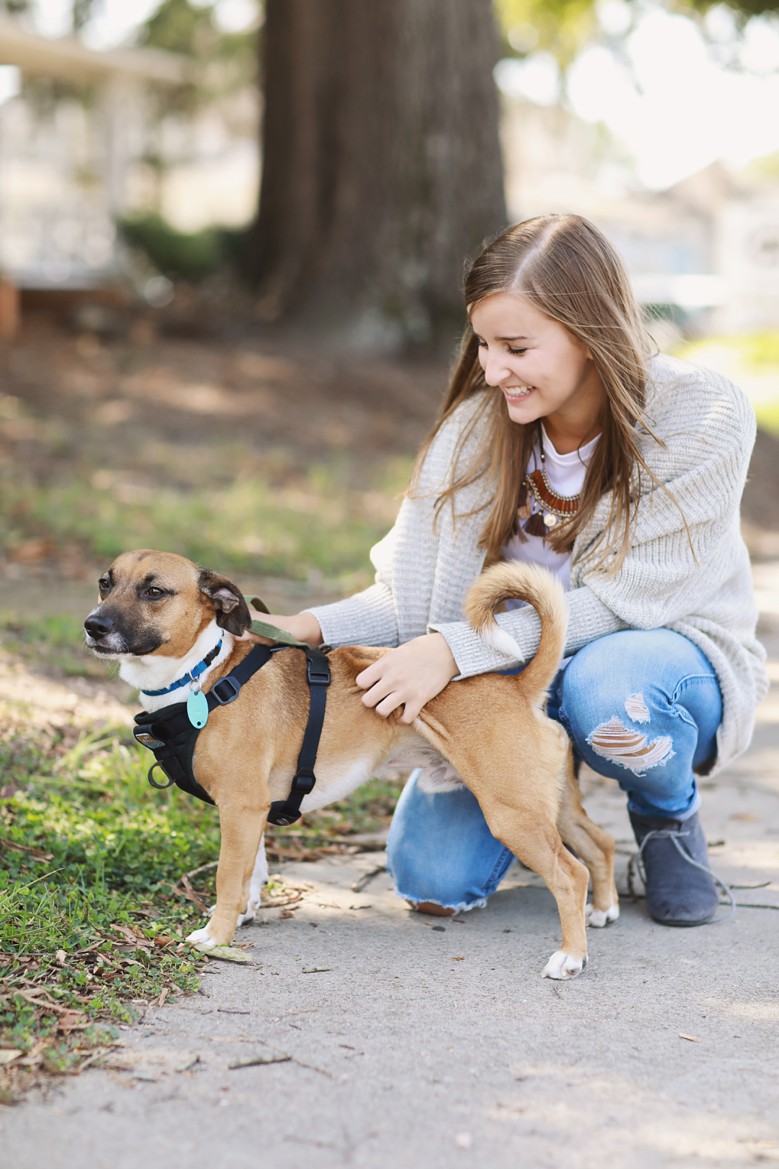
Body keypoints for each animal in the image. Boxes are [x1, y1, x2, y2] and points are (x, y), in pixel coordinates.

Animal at [84, 547, 617, 977]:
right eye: (105, 583)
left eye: (154, 591)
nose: (93, 624)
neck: (203, 677)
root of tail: (520, 686)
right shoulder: (250, 813)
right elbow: (252, 871)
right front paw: (244, 914)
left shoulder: (240, 807)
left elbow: (227, 878)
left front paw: (217, 936)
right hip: (550, 806)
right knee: (601, 844)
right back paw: (603, 911)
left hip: (512, 815)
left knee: (571, 876)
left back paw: (570, 957)